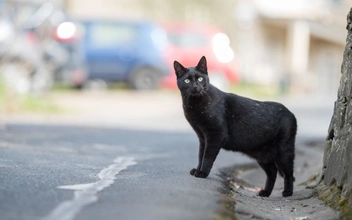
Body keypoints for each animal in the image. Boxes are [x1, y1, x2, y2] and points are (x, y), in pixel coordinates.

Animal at [173, 55, 296, 197]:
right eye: (187, 80)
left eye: (200, 79)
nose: (195, 87)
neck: (194, 105)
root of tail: (291, 113)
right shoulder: (202, 137)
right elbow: (200, 156)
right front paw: (197, 170)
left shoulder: (216, 135)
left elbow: (207, 157)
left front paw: (203, 173)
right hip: (263, 156)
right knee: (273, 173)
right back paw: (265, 192)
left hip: (284, 152)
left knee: (289, 173)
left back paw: (287, 192)